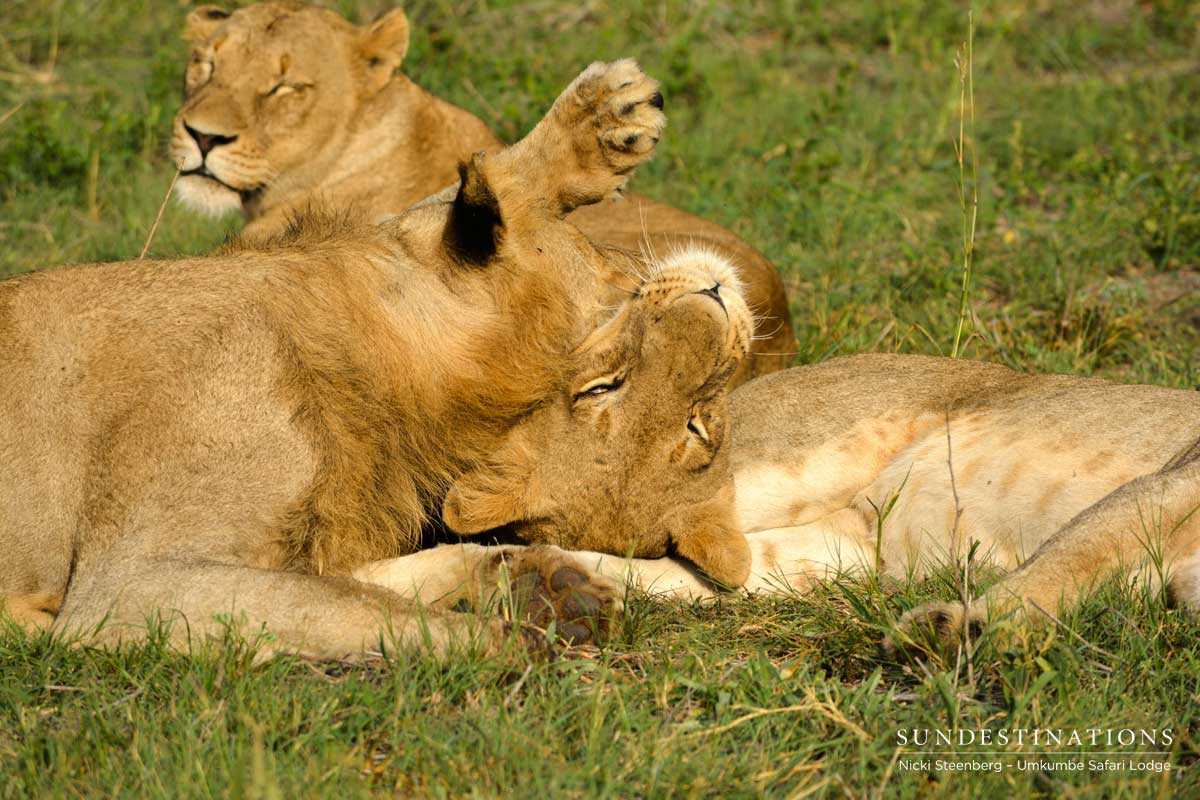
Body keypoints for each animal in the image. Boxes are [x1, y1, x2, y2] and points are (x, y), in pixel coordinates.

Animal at [0, 61, 748, 660]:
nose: (715, 306)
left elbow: (373, 589)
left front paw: (546, 588)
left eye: (697, 422)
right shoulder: (123, 587)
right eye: (603, 388)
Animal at [358, 348, 1199, 653]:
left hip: (826, 555)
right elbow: (1062, 564)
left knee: (653, 565)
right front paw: (958, 630)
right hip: (776, 464)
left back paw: (553, 591)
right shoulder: (1164, 482)